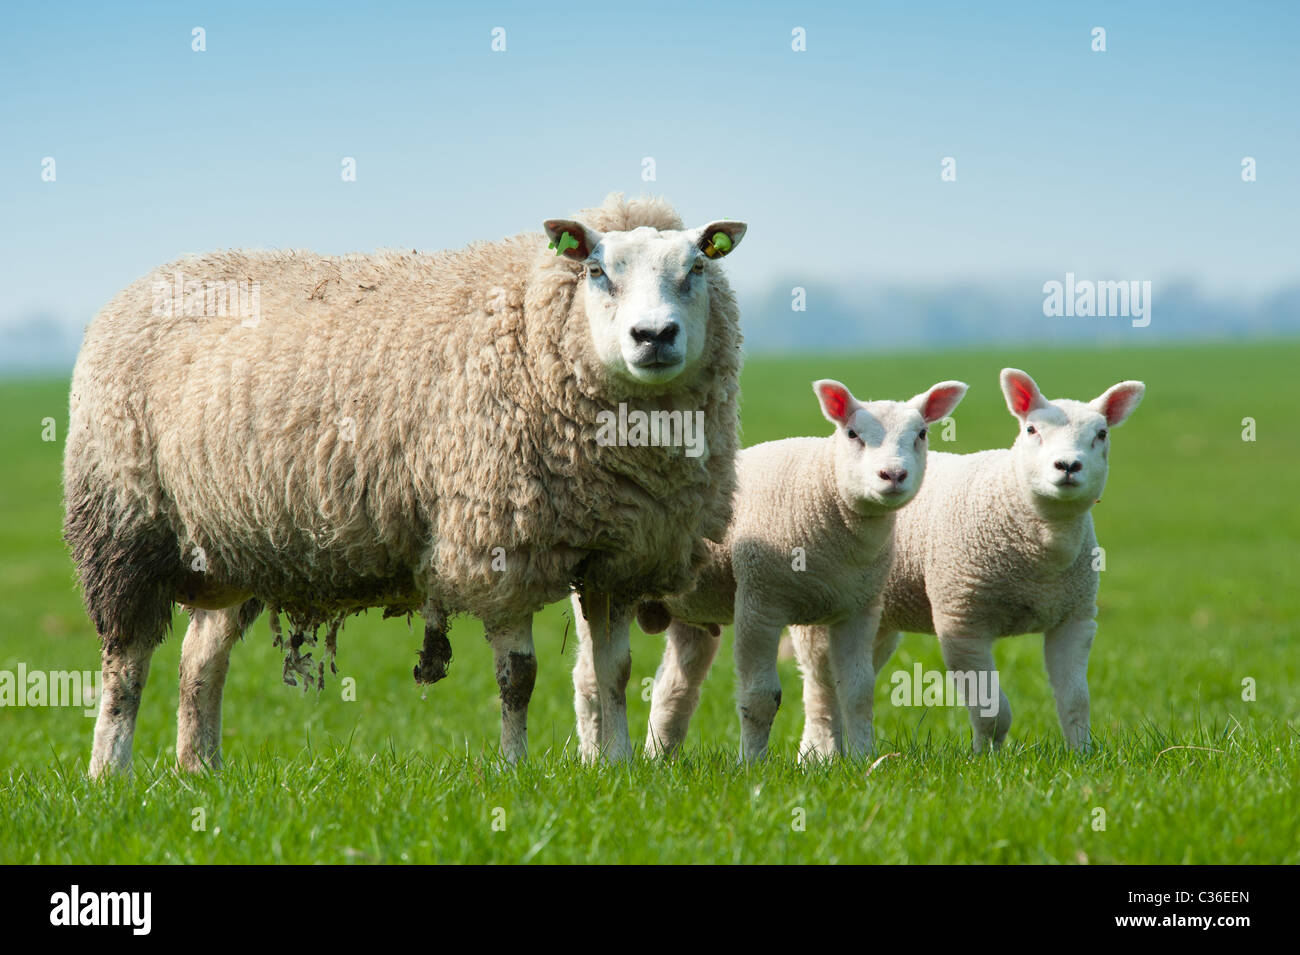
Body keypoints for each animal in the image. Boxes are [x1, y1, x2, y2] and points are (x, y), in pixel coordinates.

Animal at [63, 193, 747, 776]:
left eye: (695, 269)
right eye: (599, 272)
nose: (653, 336)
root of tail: (141, 284)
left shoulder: (622, 556)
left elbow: (616, 671)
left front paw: (620, 768)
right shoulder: (498, 545)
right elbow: (518, 678)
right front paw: (515, 770)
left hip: (234, 539)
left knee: (199, 660)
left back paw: (199, 770)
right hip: (124, 521)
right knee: (124, 661)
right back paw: (109, 773)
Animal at [637, 377, 968, 761]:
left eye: (922, 434)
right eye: (852, 433)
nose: (894, 475)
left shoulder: (859, 610)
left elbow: (858, 692)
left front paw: (865, 760)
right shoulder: (759, 602)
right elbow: (760, 696)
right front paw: (751, 764)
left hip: (691, 614)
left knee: (672, 687)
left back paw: (658, 759)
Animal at [866, 368, 1146, 752]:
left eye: (1101, 434)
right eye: (1031, 430)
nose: (1068, 466)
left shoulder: (1075, 618)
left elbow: (1076, 700)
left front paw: (1082, 754)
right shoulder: (962, 619)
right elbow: (994, 712)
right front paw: (985, 758)